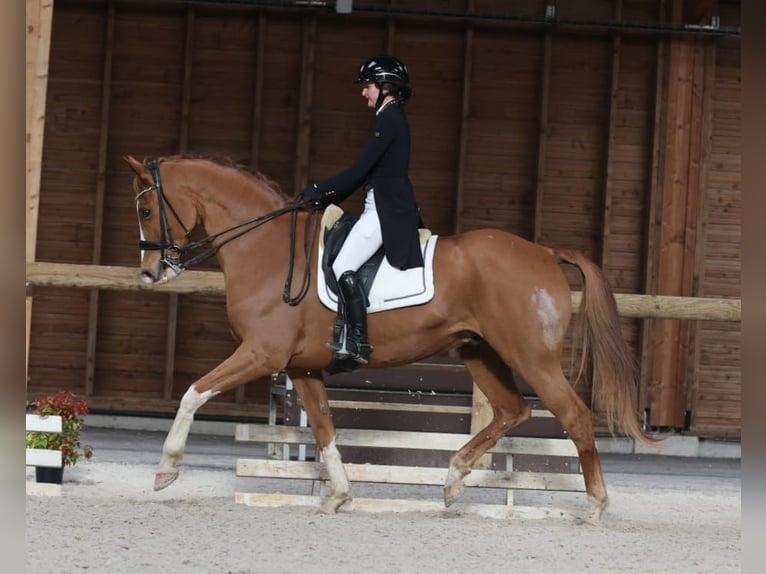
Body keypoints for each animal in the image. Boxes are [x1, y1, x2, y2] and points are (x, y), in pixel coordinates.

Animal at [124, 155, 656, 524]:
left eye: (147, 208)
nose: (151, 273)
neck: (266, 248)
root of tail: (545, 252)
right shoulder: (301, 366)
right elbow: (324, 428)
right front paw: (339, 496)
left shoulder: (261, 353)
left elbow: (193, 393)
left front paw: (165, 471)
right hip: (479, 352)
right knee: (512, 410)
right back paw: (453, 479)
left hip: (532, 358)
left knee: (575, 417)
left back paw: (595, 507)